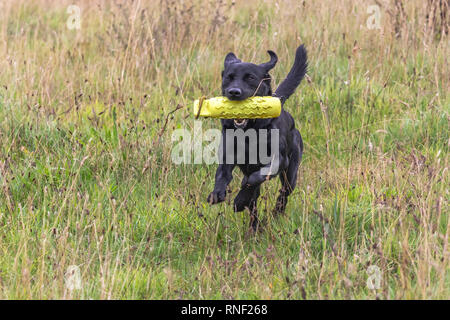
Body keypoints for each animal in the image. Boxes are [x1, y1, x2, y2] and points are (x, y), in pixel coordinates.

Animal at [207, 44, 306, 230]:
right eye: (229, 78)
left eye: (251, 77)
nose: (234, 92)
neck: (248, 131)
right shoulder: (227, 157)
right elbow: (222, 175)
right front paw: (217, 193)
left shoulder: (278, 160)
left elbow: (255, 177)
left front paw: (239, 200)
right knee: (253, 203)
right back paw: (254, 226)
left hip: (291, 173)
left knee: (283, 193)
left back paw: (275, 212)